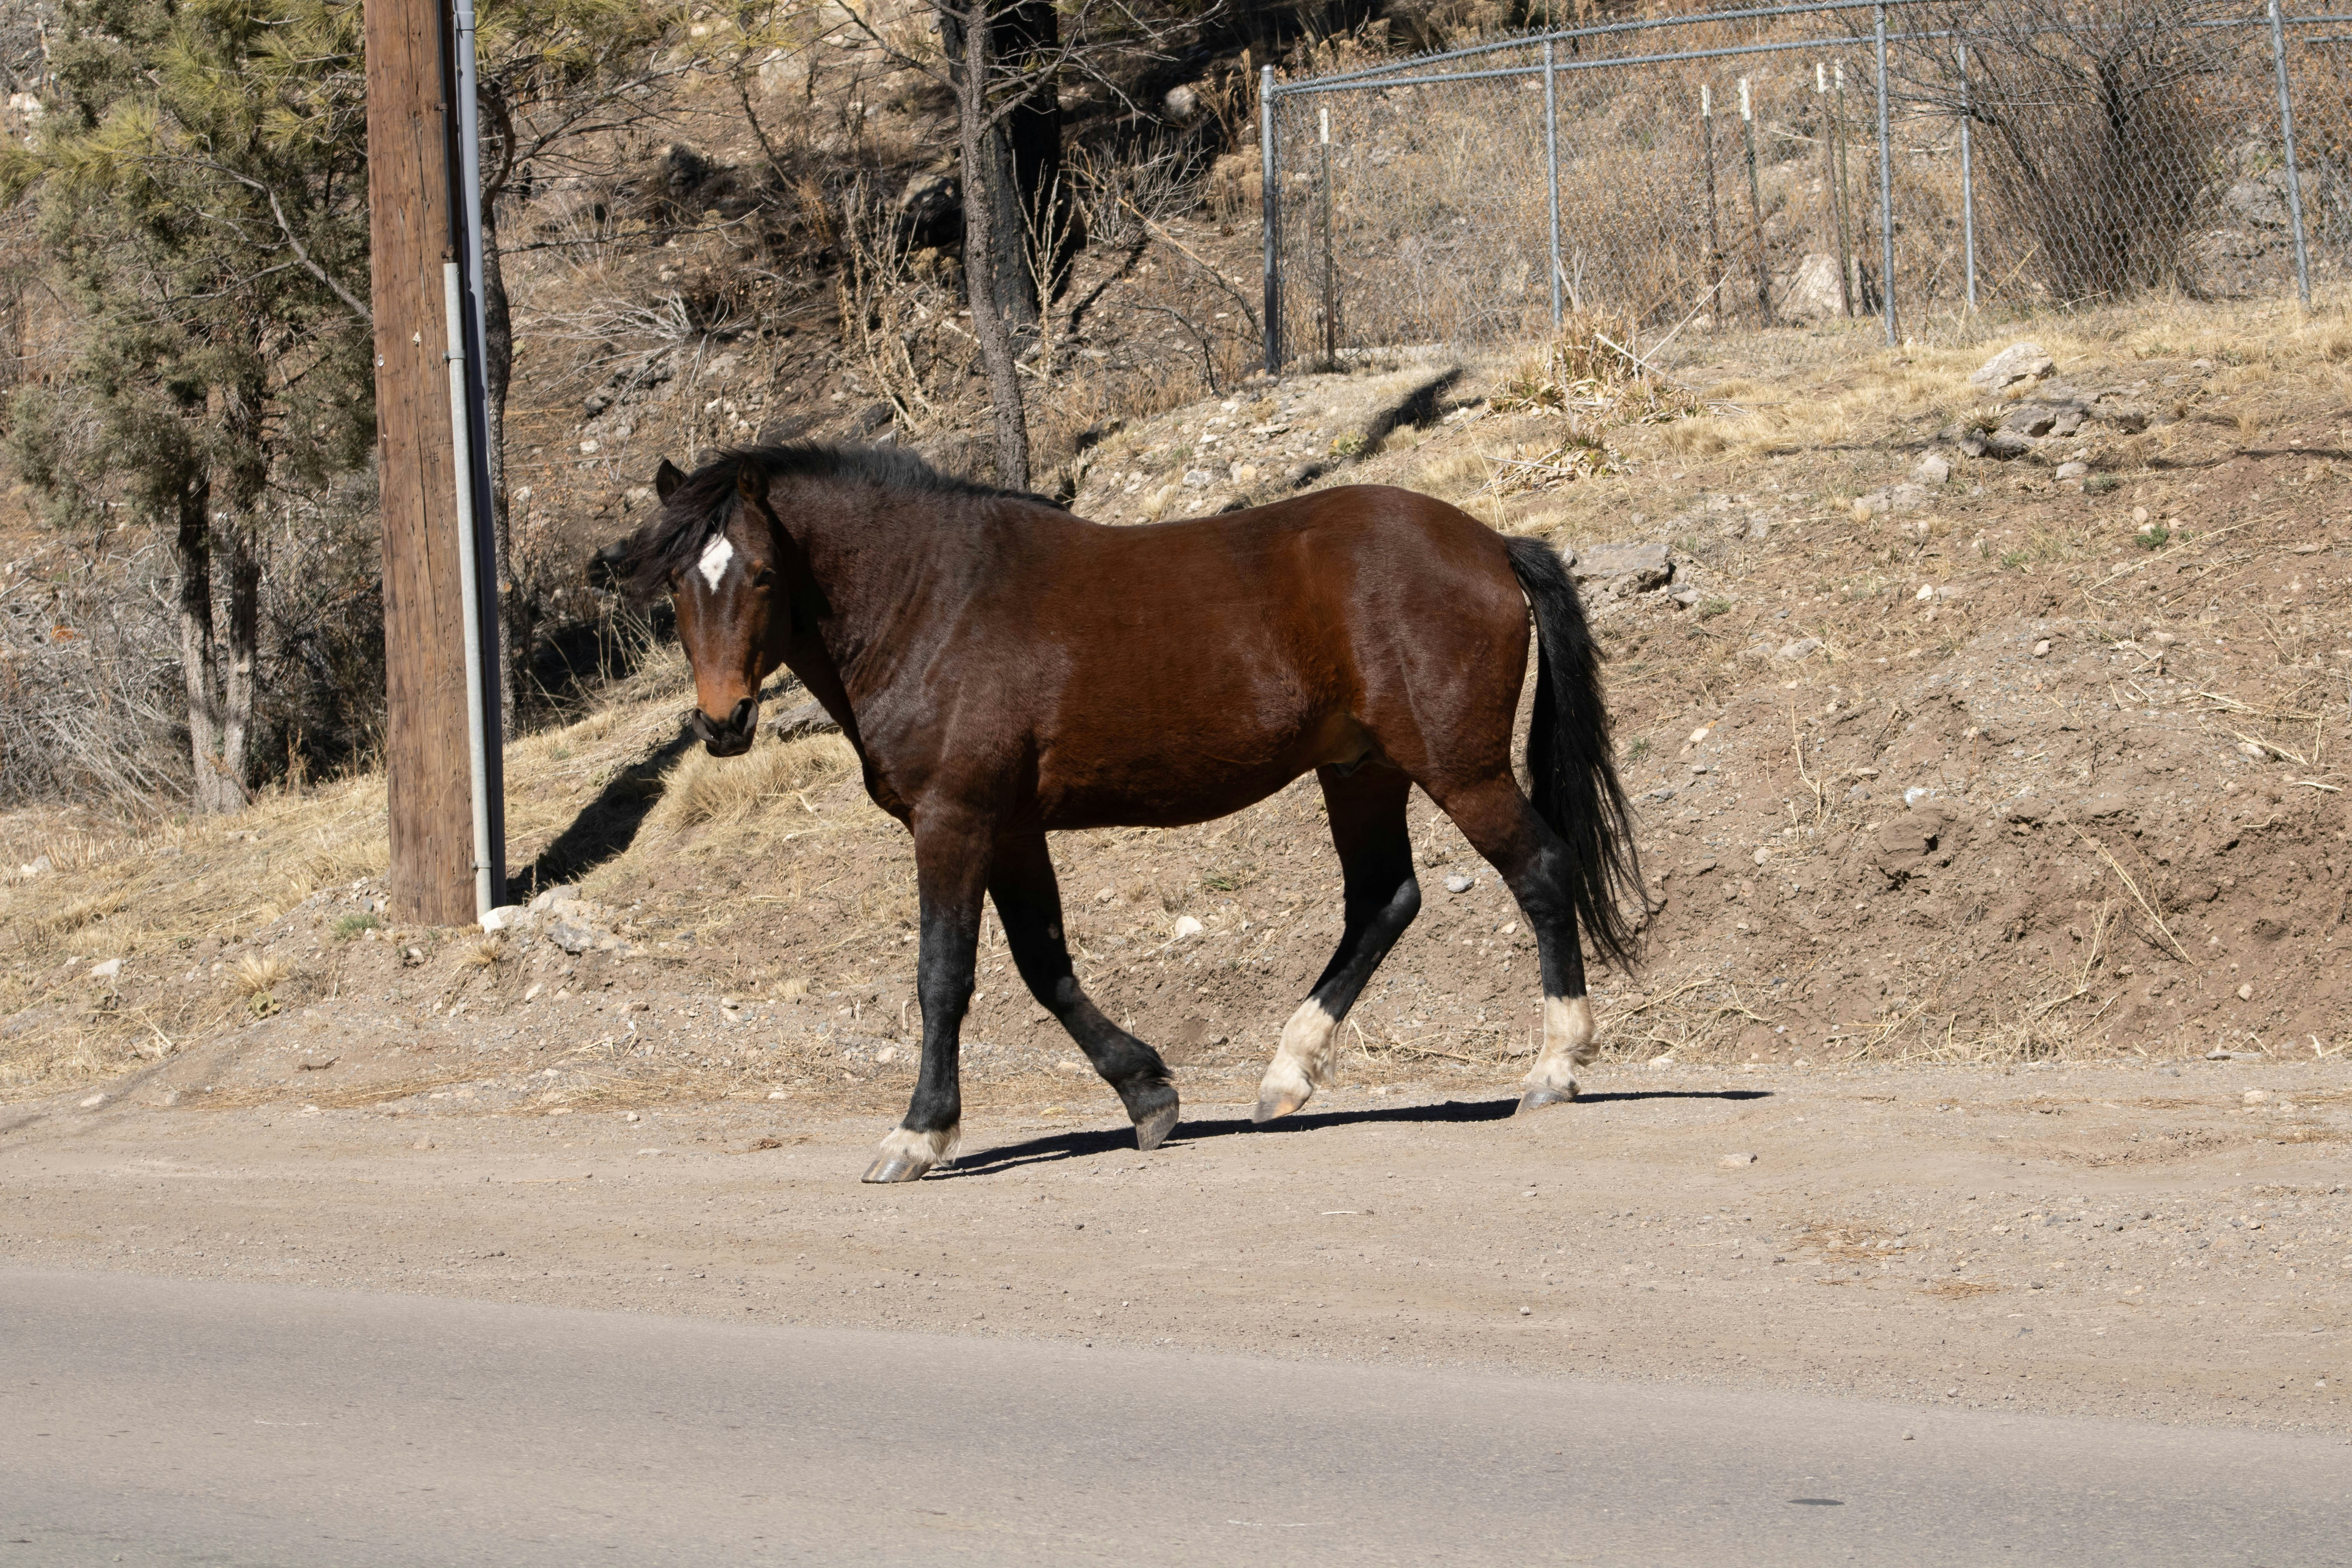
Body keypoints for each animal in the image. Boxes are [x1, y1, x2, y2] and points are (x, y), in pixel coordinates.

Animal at [594, 443, 1643, 1183]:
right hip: (1361, 770)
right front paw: (1147, 1091)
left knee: (1539, 871)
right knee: (1384, 900)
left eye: (763, 574)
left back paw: (1554, 1067)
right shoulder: (1012, 828)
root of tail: (1492, 544)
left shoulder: (954, 819)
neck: (933, 600)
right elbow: (1046, 965)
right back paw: (1286, 1075)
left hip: (1457, 767)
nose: (722, 721)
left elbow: (945, 976)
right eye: (682, 582)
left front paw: (920, 1133)